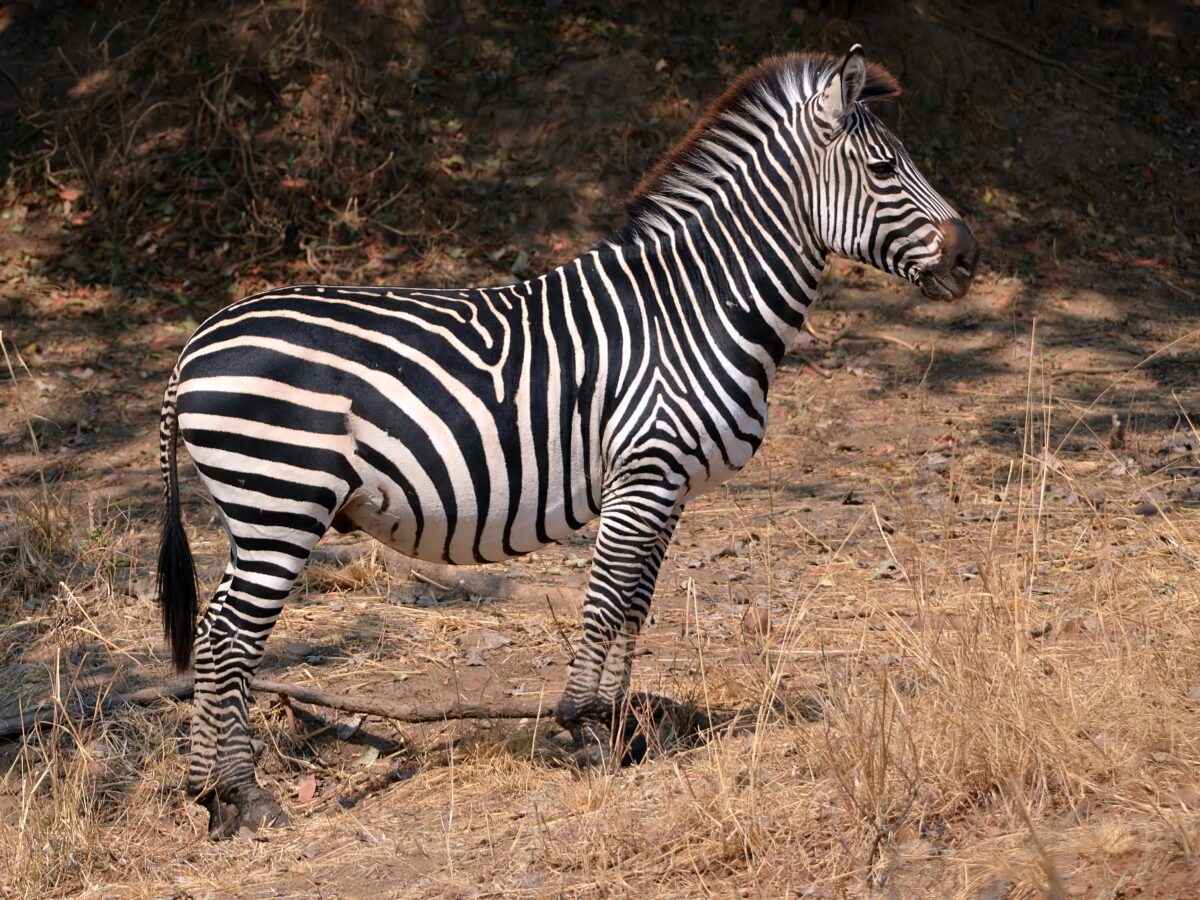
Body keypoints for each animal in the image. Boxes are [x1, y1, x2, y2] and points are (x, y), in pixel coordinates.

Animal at [157, 45, 977, 837]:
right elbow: (607, 600)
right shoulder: (645, 471)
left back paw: (210, 797)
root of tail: (195, 343)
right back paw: (242, 797)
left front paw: (619, 731)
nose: (970, 257)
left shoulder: (665, 485)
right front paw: (586, 730)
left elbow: (636, 604)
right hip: (280, 503)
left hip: (262, 509)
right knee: (227, 637)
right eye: (883, 170)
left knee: (214, 634)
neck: (694, 307)